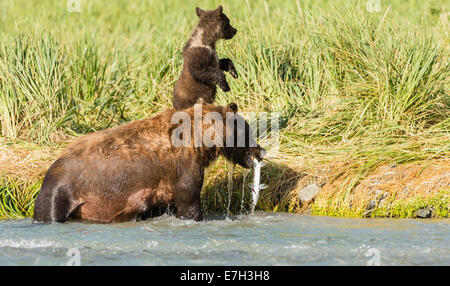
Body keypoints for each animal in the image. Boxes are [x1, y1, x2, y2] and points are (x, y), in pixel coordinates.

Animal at [34, 103, 264, 223]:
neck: (201, 142)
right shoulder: (182, 169)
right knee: (50, 210)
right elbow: (189, 202)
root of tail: (53, 164)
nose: (260, 150)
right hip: (63, 189)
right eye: (248, 129)